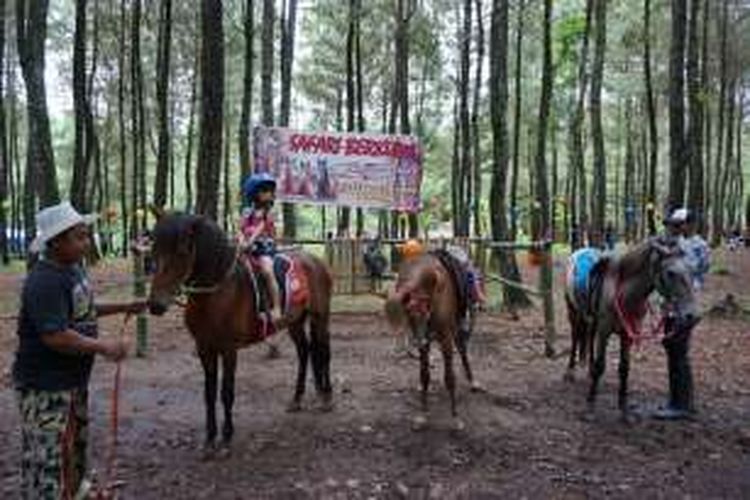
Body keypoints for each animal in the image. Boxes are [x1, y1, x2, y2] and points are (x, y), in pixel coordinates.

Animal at [148, 209, 334, 452]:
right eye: (154, 249)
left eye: (182, 251)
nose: (156, 305)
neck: (216, 292)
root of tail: (316, 261)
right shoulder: (204, 348)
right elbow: (209, 393)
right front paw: (210, 439)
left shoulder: (229, 349)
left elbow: (226, 392)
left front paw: (226, 437)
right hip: (294, 320)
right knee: (306, 352)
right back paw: (298, 398)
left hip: (320, 316)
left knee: (324, 352)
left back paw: (327, 397)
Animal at [384, 248, 478, 424]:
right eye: (409, 316)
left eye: (425, 313)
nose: (418, 342)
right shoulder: (425, 341)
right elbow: (424, 375)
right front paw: (423, 412)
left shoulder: (446, 338)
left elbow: (450, 377)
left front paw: (455, 416)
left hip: (457, 328)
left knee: (462, 350)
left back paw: (472, 381)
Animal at [568, 236, 700, 420]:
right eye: (670, 273)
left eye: (693, 270)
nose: (692, 315)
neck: (625, 294)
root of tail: (580, 250)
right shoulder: (604, 330)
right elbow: (601, 366)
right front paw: (590, 407)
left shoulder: (628, 333)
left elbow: (624, 368)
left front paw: (624, 410)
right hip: (574, 312)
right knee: (575, 338)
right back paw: (570, 372)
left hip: (592, 320)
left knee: (589, 336)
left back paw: (588, 371)